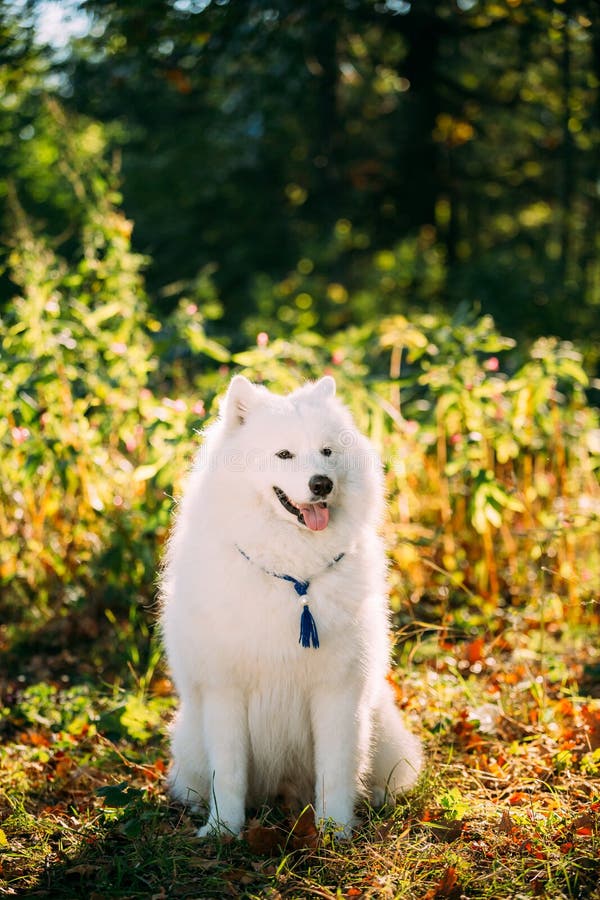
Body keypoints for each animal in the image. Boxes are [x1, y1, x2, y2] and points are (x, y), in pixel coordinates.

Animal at [159, 372, 422, 836]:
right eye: (284, 454)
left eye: (327, 452)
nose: (322, 484)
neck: (294, 576)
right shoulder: (225, 691)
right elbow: (228, 773)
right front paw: (223, 831)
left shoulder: (338, 692)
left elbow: (335, 771)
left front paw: (335, 832)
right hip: (189, 740)